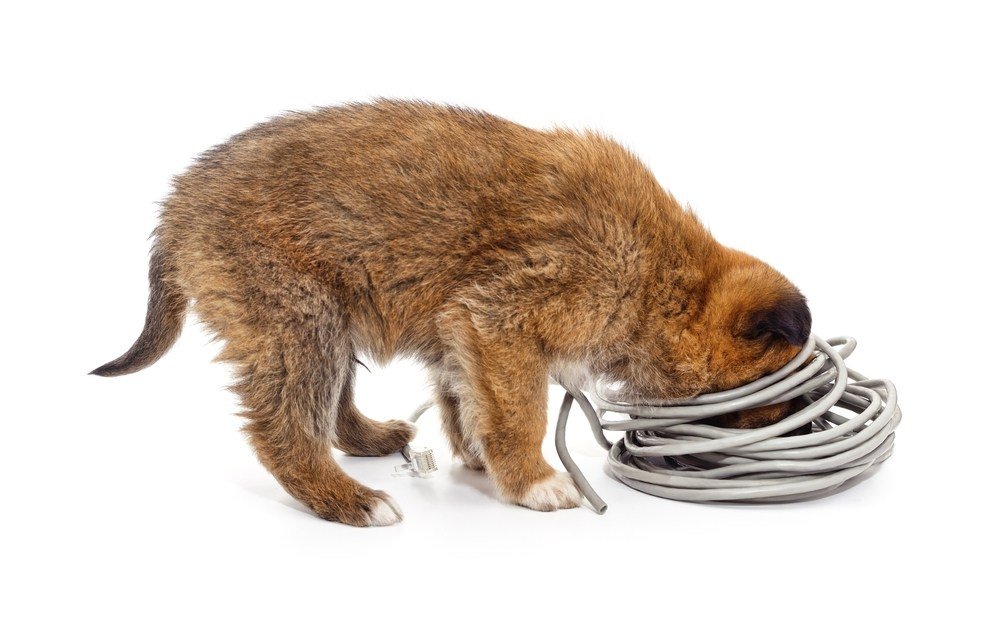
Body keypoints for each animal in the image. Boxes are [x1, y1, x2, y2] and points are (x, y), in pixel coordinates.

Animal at [94, 102, 812, 528]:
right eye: (782, 396)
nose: (802, 436)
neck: (667, 276)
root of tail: (179, 205)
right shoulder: (501, 319)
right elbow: (518, 411)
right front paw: (530, 480)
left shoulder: (461, 330)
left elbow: (464, 396)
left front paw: (477, 455)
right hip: (297, 319)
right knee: (286, 427)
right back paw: (345, 498)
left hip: (334, 310)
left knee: (335, 403)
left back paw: (372, 439)